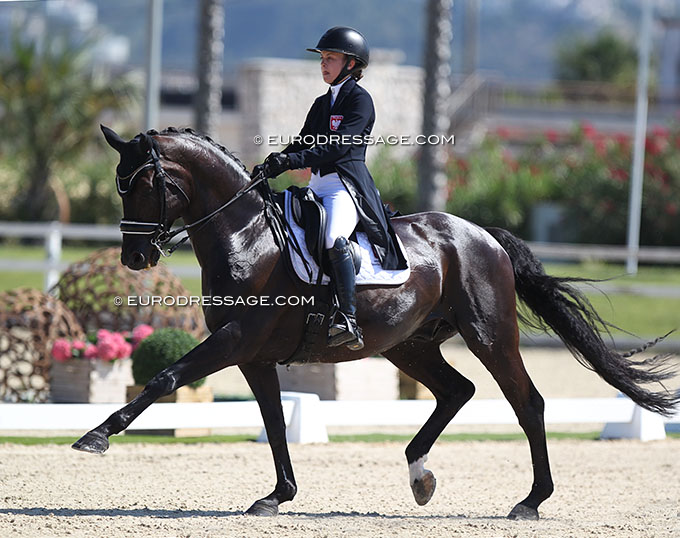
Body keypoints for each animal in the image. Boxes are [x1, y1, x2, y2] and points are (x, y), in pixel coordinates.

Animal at [71, 125, 676, 520]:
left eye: (141, 184)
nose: (134, 258)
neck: (246, 236)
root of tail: (481, 234)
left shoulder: (235, 339)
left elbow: (165, 376)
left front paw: (96, 436)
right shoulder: (253, 355)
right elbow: (273, 421)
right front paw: (278, 495)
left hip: (489, 335)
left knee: (526, 402)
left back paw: (531, 501)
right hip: (408, 344)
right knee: (456, 390)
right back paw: (420, 474)